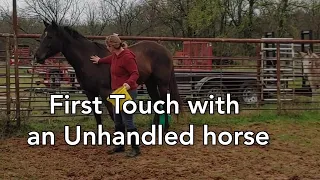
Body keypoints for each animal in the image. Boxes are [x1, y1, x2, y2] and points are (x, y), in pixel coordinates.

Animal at [34, 21, 182, 133]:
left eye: (50, 37)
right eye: (41, 37)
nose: (37, 56)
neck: (87, 60)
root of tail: (165, 51)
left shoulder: (105, 92)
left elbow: (112, 115)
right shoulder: (90, 93)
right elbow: (97, 116)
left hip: (162, 84)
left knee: (165, 102)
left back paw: (165, 129)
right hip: (150, 83)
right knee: (157, 102)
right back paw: (154, 129)